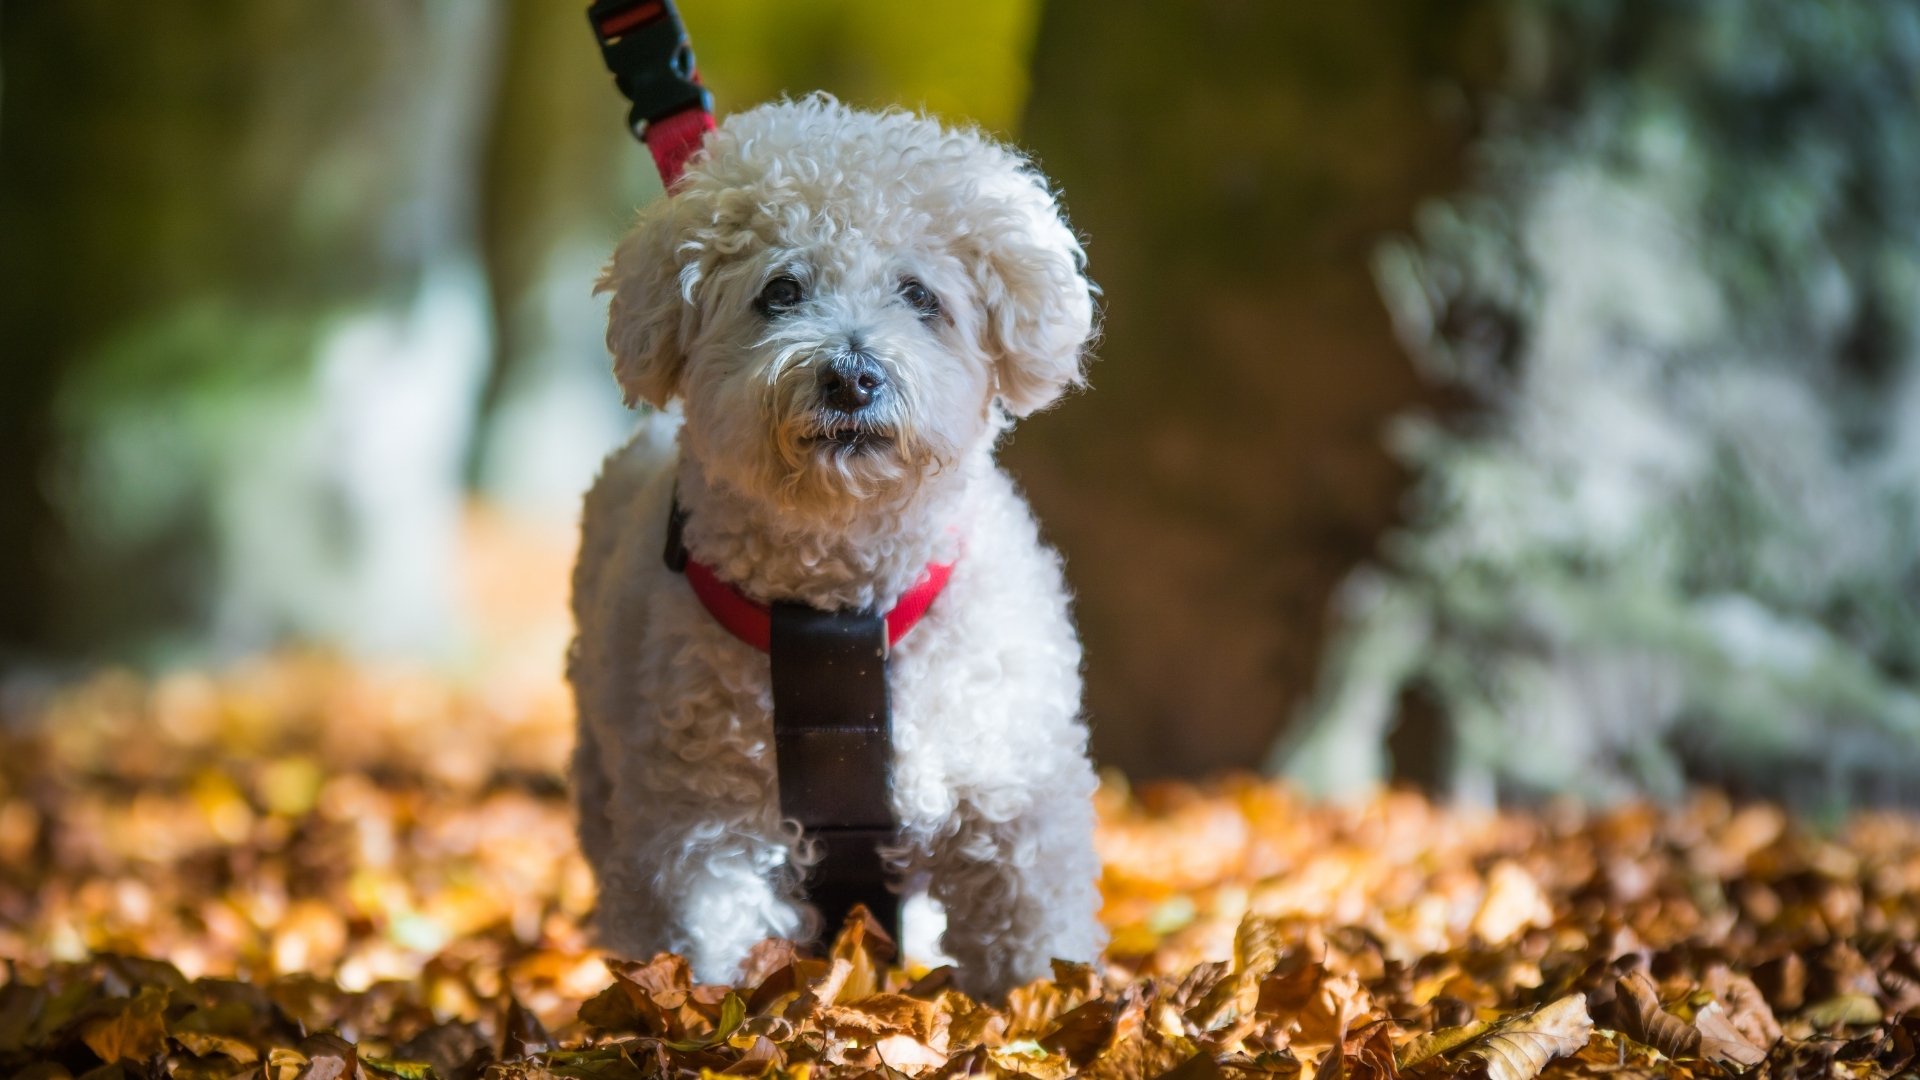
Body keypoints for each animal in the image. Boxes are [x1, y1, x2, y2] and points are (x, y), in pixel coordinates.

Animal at [567, 95, 1103, 998]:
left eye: (920, 295)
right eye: (781, 291)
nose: (852, 376)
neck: (840, 607)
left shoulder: (1013, 804)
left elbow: (1033, 949)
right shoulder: (697, 831)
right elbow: (697, 946)